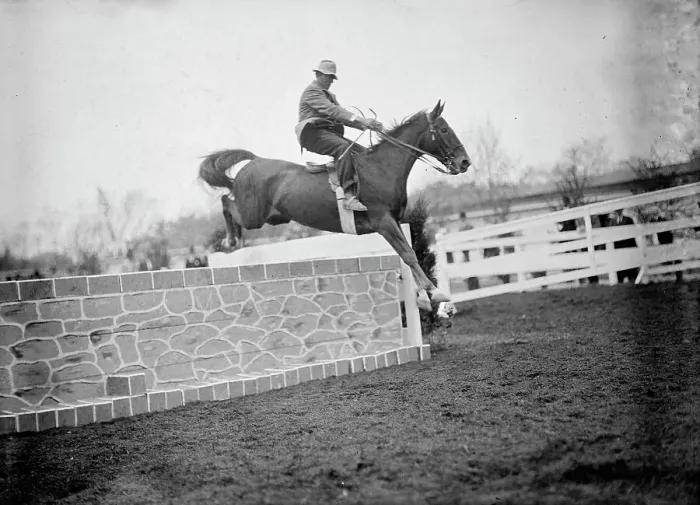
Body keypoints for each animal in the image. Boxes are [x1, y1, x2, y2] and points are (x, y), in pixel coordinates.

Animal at [198, 100, 471, 311]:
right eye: (444, 129)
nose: (464, 162)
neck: (381, 168)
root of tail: (253, 161)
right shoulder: (384, 222)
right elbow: (409, 254)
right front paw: (434, 293)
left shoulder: (395, 220)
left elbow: (407, 254)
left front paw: (424, 297)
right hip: (253, 214)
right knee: (226, 202)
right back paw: (229, 240)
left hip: (273, 217)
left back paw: (235, 241)